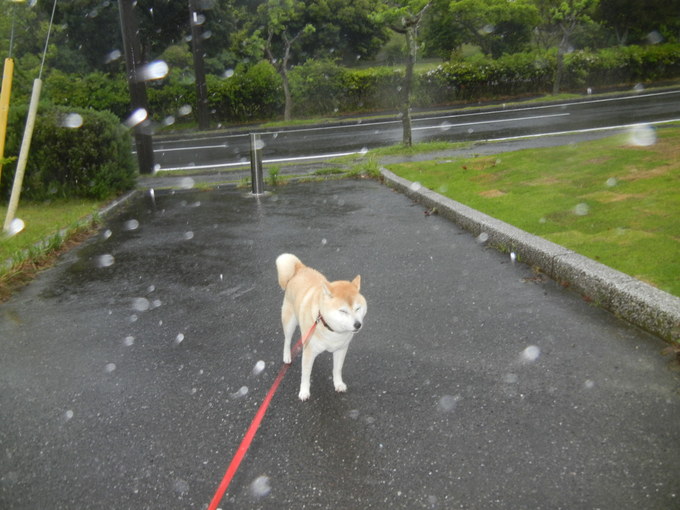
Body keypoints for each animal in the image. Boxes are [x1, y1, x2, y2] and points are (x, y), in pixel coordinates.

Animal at [274, 253, 366, 400]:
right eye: (343, 311)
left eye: (358, 308)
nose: (357, 324)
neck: (331, 329)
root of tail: (300, 268)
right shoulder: (309, 351)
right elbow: (305, 375)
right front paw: (304, 391)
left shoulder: (341, 349)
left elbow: (337, 369)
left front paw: (338, 384)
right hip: (289, 321)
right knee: (287, 340)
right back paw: (287, 356)